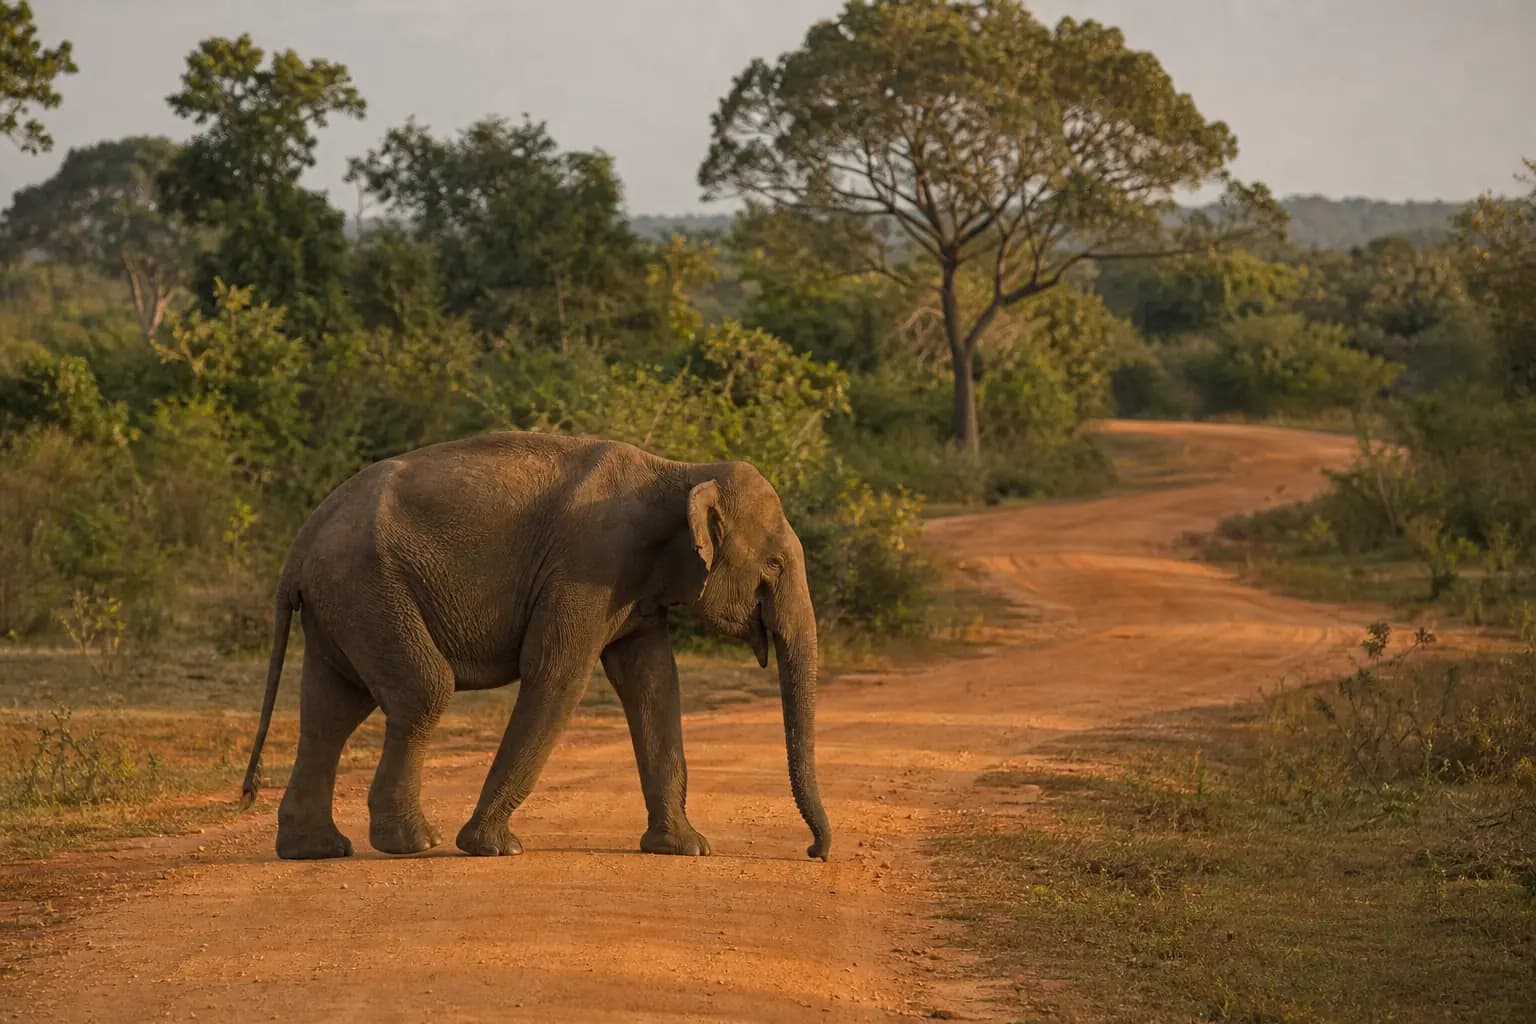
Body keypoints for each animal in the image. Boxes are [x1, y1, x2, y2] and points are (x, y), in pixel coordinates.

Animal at [239, 431, 831, 863]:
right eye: (773, 566)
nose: (814, 852)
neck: (679, 471)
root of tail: (298, 547)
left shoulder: (634, 593)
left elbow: (654, 683)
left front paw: (686, 849)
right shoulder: (590, 563)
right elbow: (556, 674)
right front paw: (494, 848)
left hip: (342, 601)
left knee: (332, 709)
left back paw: (315, 851)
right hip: (369, 588)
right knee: (421, 691)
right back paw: (415, 844)